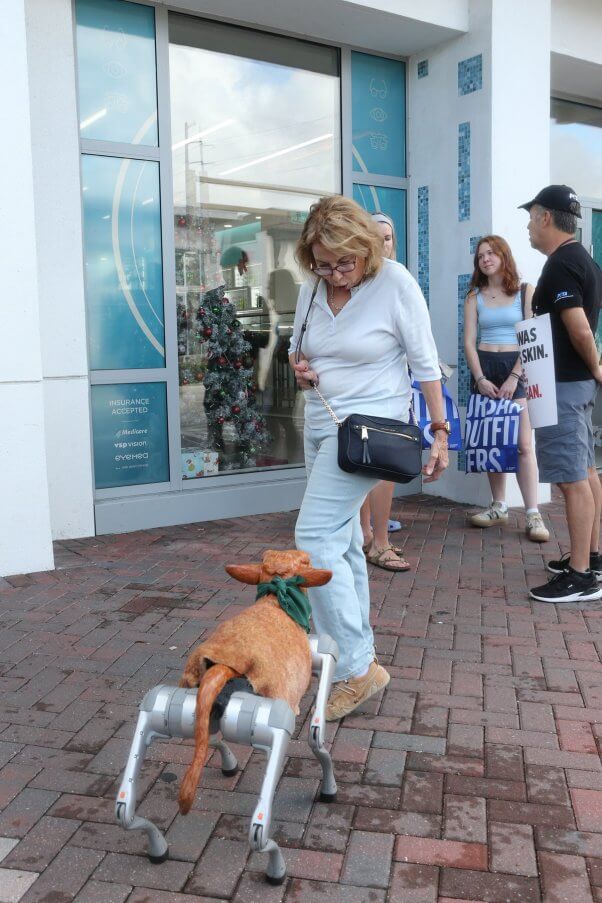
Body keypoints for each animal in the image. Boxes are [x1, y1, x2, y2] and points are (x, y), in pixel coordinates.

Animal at [113, 552, 338, 884]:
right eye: (306, 561)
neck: (275, 600)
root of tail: (227, 665)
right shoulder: (323, 658)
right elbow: (318, 740)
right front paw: (329, 787)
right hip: (276, 718)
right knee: (259, 831)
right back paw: (276, 867)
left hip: (171, 702)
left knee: (126, 809)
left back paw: (157, 845)